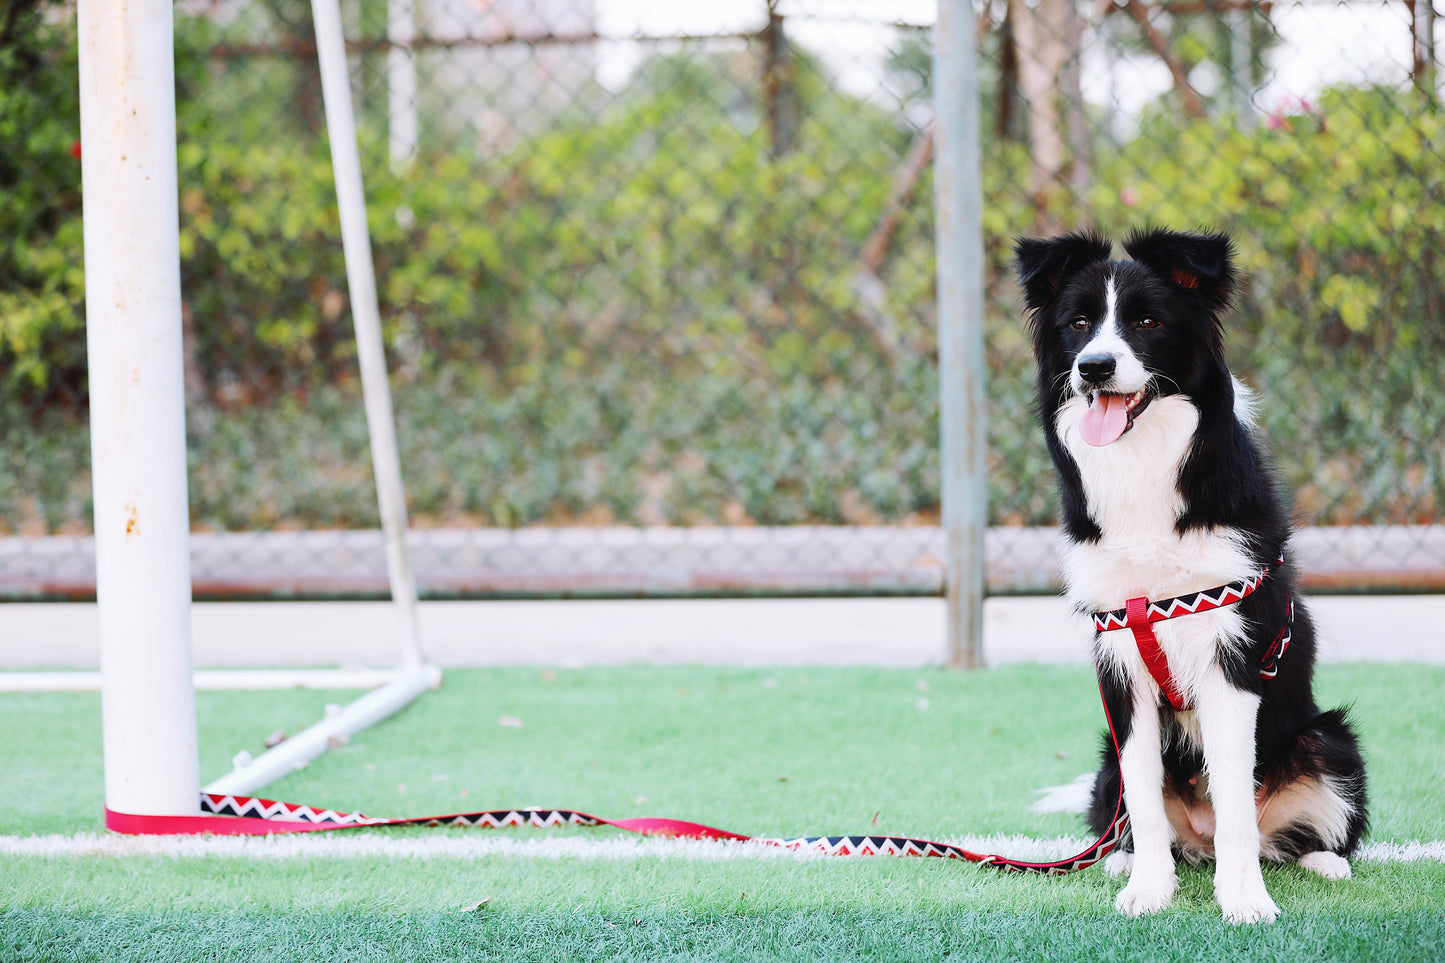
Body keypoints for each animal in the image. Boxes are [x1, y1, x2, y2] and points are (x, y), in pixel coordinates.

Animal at [1017, 227, 1364, 925]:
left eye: (1148, 321)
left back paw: (1324, 862)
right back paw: (1125, 862)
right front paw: (1149, 892)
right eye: (1078, 324)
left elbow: (1233, 805)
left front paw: (1245, 902)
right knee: (1135, 816)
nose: (1094, 367)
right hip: (1106, 760)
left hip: (1330, 740)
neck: (1143, 469)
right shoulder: (1122, 673)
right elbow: (1148, 804)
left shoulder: (1230, 662)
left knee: (1291, 835)